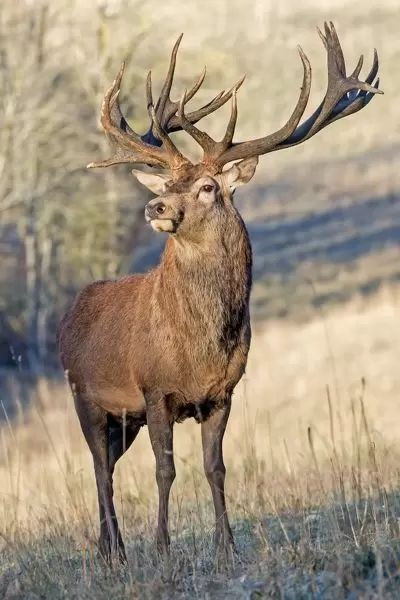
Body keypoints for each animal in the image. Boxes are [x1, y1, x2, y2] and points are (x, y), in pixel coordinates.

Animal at [57, 23, 382, 564]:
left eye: (209, 187)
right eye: (168, 182)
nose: (156, 206)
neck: (199, 348)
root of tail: (67, 317)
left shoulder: (223, 392)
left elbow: (216, 468)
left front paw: (226, 546)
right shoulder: (154, 388)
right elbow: (165, 470)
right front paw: (163, 546)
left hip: (124, 418)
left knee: (107, 468)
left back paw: (107, 549)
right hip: (85, 395)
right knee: (100, 471)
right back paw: (116, 551)